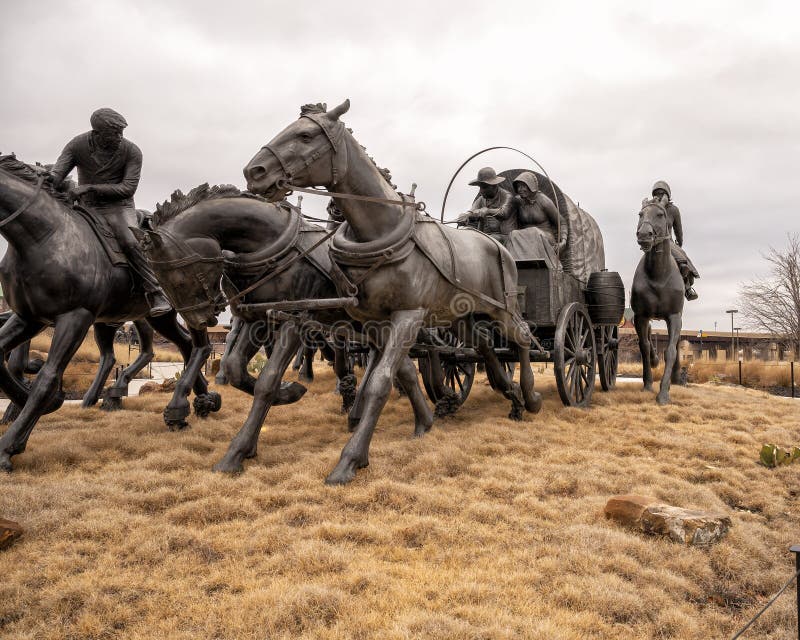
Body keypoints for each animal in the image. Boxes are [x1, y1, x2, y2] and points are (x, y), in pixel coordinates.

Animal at [0, 155, 220, 472]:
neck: (44, 236)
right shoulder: (29, 317)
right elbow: (4, 361)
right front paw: (30, 402)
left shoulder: (75, 317)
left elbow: (47, 378)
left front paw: (10, 446)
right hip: (154, 316)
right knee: (183, 345)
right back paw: (200, 401)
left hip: (188, 306)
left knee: (199, 345)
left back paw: (177, 405)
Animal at [142, 182, 432, 472]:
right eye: (158, 281)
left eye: (178, 280)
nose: (200, 321)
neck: (271, 246)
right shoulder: (258, 318)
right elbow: (234, 368)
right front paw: (288, 392)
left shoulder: (294, 319)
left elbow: (267, 382)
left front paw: (237, 452)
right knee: (403, 367)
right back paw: (413, 419)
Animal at [244, 99, 544, 484]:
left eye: (306, 135)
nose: (255, 171)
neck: (380, 232)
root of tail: (495, 244)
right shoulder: (370, 320)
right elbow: (395, 373)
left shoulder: (408, 315)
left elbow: (380, 381)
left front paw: (349, 461)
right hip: (460, 315)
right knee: (483, 345)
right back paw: (510, 395)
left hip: (502, 309)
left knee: (521, 338)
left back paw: (530, 396)